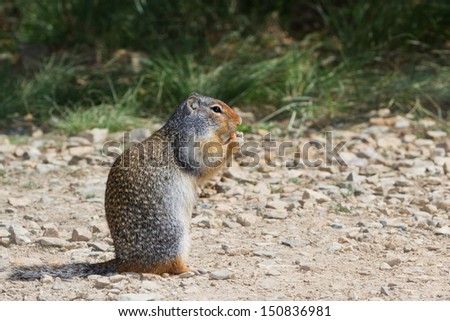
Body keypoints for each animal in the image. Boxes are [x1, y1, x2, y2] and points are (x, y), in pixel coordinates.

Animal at [6, 92, 243, 278]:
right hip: (174, 235)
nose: (240, 120)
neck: (183, 127)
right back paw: (189, 269)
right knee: (167, 265)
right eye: (216, 109)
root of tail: (121, 259)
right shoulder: (190, 146)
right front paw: (234, 140)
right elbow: (205, 166)